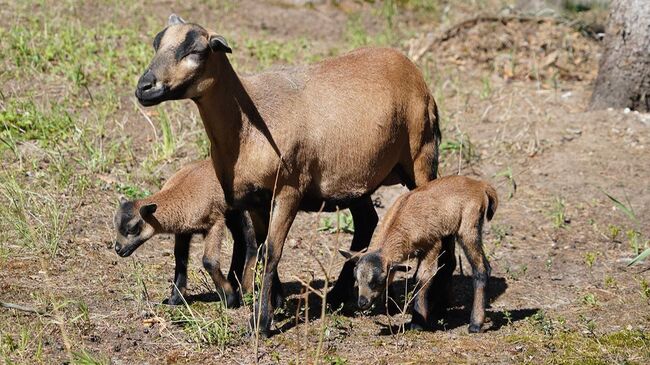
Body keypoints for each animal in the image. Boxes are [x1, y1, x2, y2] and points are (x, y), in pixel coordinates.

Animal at [112, 160, 256, 308]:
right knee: (240, 240)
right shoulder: (183, 231)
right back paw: (234, 282)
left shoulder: (215, 221)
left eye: (132, 228)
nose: (118, 249)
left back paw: (245, 292)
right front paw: (175, 298)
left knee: (253, 244)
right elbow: (180, 258)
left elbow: (209, 262)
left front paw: (230, 299)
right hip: (233, 213)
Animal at [132, 14, 446, 336]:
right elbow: (260, 246)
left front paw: (261, 322)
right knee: (366, 222)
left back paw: (431, 309)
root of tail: (411, 67)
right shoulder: (256, 199)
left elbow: (272, 252)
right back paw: (338, 295)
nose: (144, 87)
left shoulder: (288, 191)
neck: (246, 127)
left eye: (197, 51)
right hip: (356, 178)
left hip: (421, 156)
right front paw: (275, 302)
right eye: (157, 43)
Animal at [340, 175, 496, 332]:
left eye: (379, 281)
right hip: (450, 231)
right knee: (453, 264)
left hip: (469, 227)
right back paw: (439, 310)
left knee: (481, 269)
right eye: (356, 278)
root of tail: (480, 185)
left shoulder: (432, 245)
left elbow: (422, 277)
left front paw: (417, 323)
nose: (362, 302)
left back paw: (475, 324)